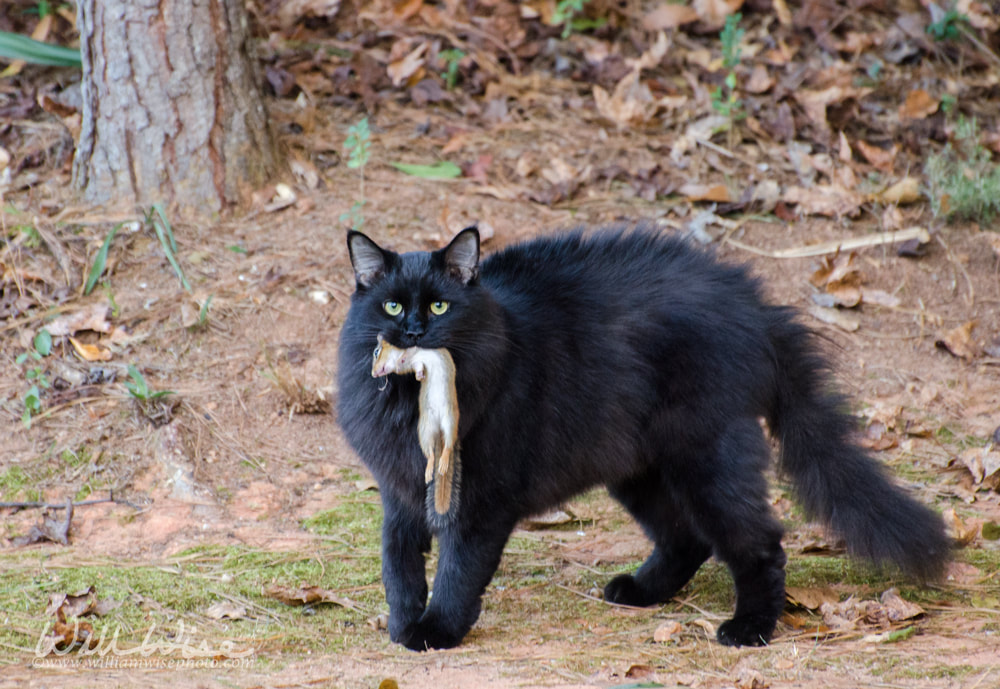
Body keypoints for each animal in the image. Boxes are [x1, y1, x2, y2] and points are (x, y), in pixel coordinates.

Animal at [334, 226, 944, 652]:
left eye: (440, 305)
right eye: (391, 304)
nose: (412, 332)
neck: (407, 404)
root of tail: (754, 308)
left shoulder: (481, 504)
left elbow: (457, 572)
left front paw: (436, 630)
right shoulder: (399, 494)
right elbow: (398, 565)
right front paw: (402, 622)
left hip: (707, 460)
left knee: (760, 543)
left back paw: (749, 629)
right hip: (638, 467)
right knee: (687, 539)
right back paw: (641, 594)